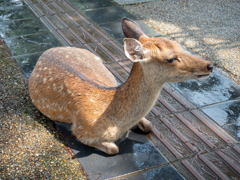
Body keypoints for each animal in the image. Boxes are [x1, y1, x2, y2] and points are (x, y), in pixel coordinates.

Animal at [28, 17, 214, 155]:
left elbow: (148, 125)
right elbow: (113, 149)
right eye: (171, 58)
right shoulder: (81, 130)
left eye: (180, 46)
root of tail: (49, 50)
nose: (209, 65)